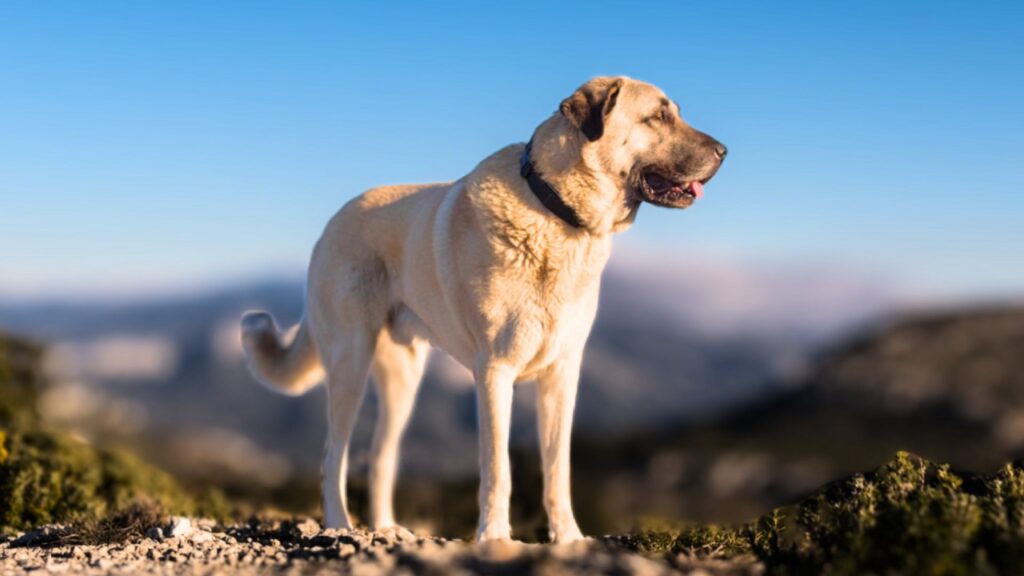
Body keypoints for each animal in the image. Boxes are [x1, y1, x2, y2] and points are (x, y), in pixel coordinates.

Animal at [239, 77, 724, 541]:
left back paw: (385, 528)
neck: (556, 213)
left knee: (380, 456)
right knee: (333, 455)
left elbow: (557, 471)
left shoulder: (561, 376)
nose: (724, 151)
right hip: (350, 363)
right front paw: (493, 536)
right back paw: (340, 524)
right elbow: (498, 469)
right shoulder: (495, 372)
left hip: (403, 378)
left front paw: (569, 538)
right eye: (658, 116)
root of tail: (333, 221)